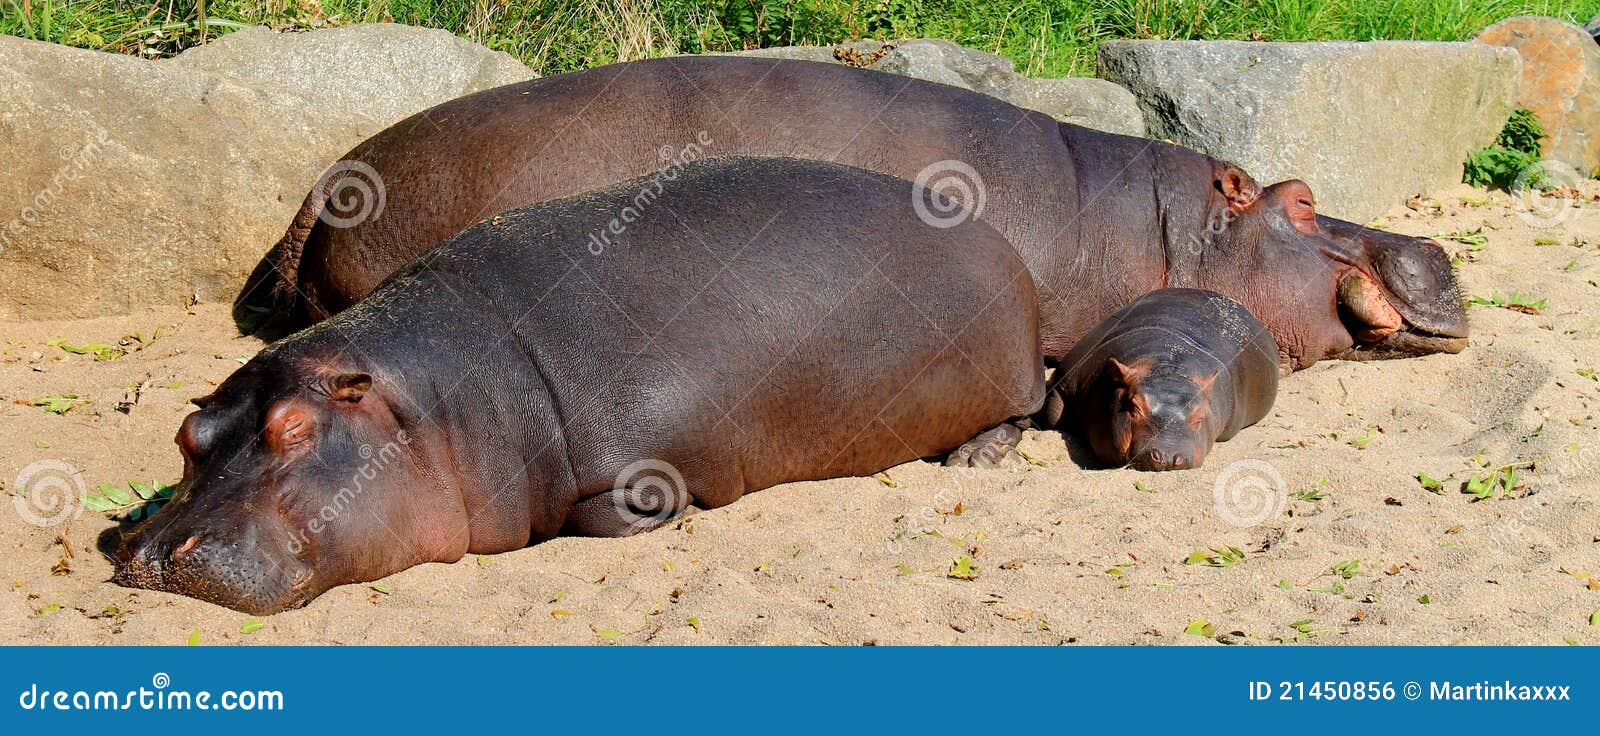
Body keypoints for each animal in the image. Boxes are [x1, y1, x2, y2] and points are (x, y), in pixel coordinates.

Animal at [121, 158, 1049, 611]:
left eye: (295, 430)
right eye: (186, 436)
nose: (154, 552)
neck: (437, 402)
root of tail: (998, 238)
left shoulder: (641, 476)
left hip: (1005, 377)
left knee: (1024, 410)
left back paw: (973, 460)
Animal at [1043, 289, 1280, 470]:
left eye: (1199, 418)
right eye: (1134, 407)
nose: (1168, 457)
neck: (1168, 366)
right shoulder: (1068, 379)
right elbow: (1053, 412)